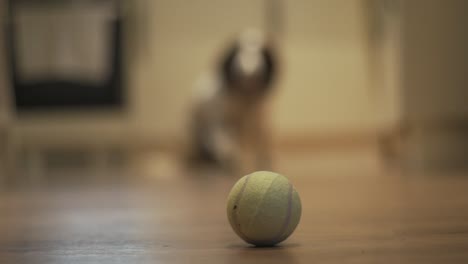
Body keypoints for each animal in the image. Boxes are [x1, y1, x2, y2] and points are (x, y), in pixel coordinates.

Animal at [189, 29, 278, 173]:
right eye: (236, 50)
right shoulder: (220, 121)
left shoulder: (260, 120)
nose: (248, 70)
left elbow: (263, 143)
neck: (245, 98)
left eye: (261, 51)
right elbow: (228, 145)